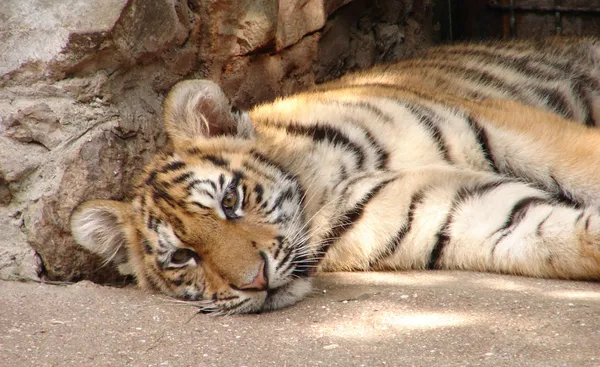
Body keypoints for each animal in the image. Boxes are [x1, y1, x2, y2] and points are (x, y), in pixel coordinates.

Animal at [69, 36, 600, 314]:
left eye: (230, 201)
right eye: (183, 256)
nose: (255, 282)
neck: (319, 188)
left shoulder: (504, 125)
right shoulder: (455, 210)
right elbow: (556, 236)